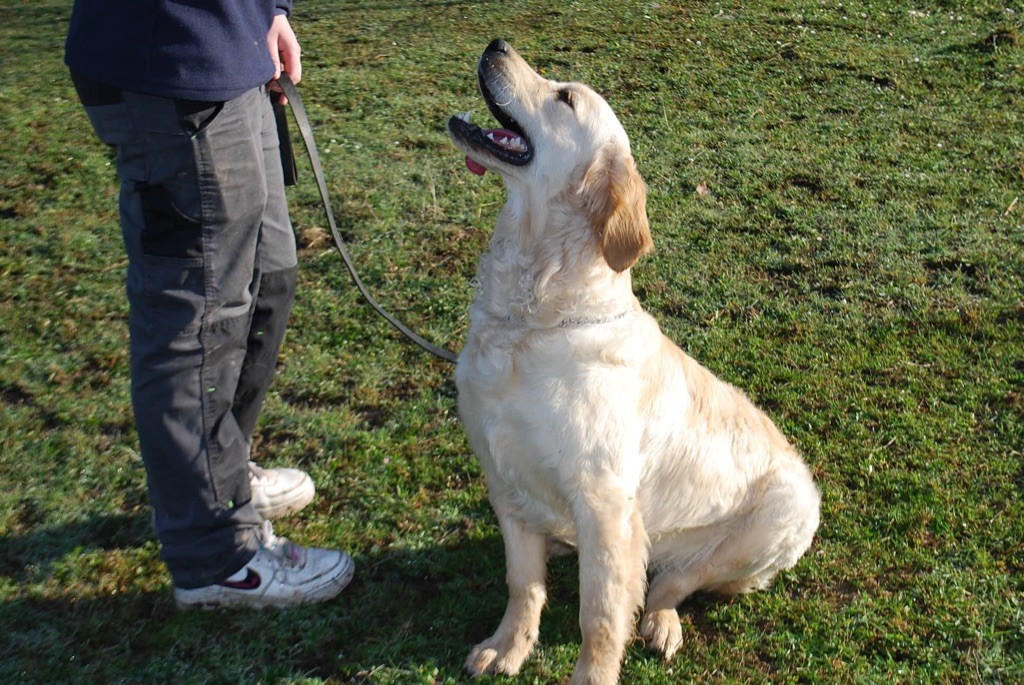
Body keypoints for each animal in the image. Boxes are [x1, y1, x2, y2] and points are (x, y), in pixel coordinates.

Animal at [444, 40, 819, 679]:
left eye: (565, 98)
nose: (496, 45)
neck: (529, 321)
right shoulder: (504, 480)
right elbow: (523, 584)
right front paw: (508, 645)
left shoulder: (605, 504)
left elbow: (599, 616)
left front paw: (590, 675)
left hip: (781, 515)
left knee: (671, 583)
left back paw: (663, 624)